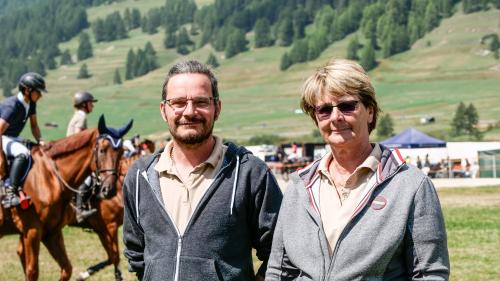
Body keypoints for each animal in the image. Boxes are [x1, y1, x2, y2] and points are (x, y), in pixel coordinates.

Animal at [0, 115, 131, 278]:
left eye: (121, 152)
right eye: (102, 150)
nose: (108, 190)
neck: (49, 177)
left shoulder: (51, 232)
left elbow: (73, 267)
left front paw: (85, 273)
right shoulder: (109, 225)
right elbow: (114, 257)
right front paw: (85, 274)